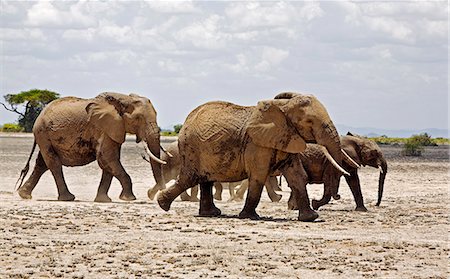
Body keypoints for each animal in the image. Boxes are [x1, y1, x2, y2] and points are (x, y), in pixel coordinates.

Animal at [15, 93, 168, 202]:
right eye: (138, 118)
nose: (151, 194)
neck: (123, 98)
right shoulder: (102, 127)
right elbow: (106, 158)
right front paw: (129, 199)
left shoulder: (113, 130)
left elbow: (108, 162)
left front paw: (103, 200)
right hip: (43, 133)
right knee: (54, 164)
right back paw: (68, 198)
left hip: (45, 135)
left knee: (42, 164)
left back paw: (24, 195)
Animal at [156, 93, 356, 222]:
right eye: (309, 122)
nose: (338, 196)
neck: (283, 107)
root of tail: (186, 123)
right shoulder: (257, 144)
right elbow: (258, 176)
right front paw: (250, 217)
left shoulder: (286, 137)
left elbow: (298, 176)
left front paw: (311, 218)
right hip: (192, 149)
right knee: (191, 178)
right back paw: (162, 204)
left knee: (205, 179)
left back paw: (211, 213)